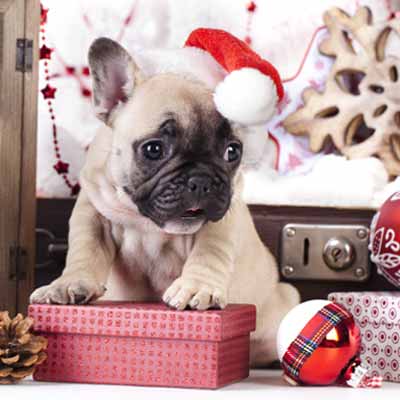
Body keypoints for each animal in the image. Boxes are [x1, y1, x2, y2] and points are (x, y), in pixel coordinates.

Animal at [31, 38, 298, 366]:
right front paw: (69, 284)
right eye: (154, 149)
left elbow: (209, 253)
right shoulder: (92, 212)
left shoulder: (223, 219)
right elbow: (85, 250)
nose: (202, 180)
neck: (147, 223)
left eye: (233, 151)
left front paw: (197, 287)